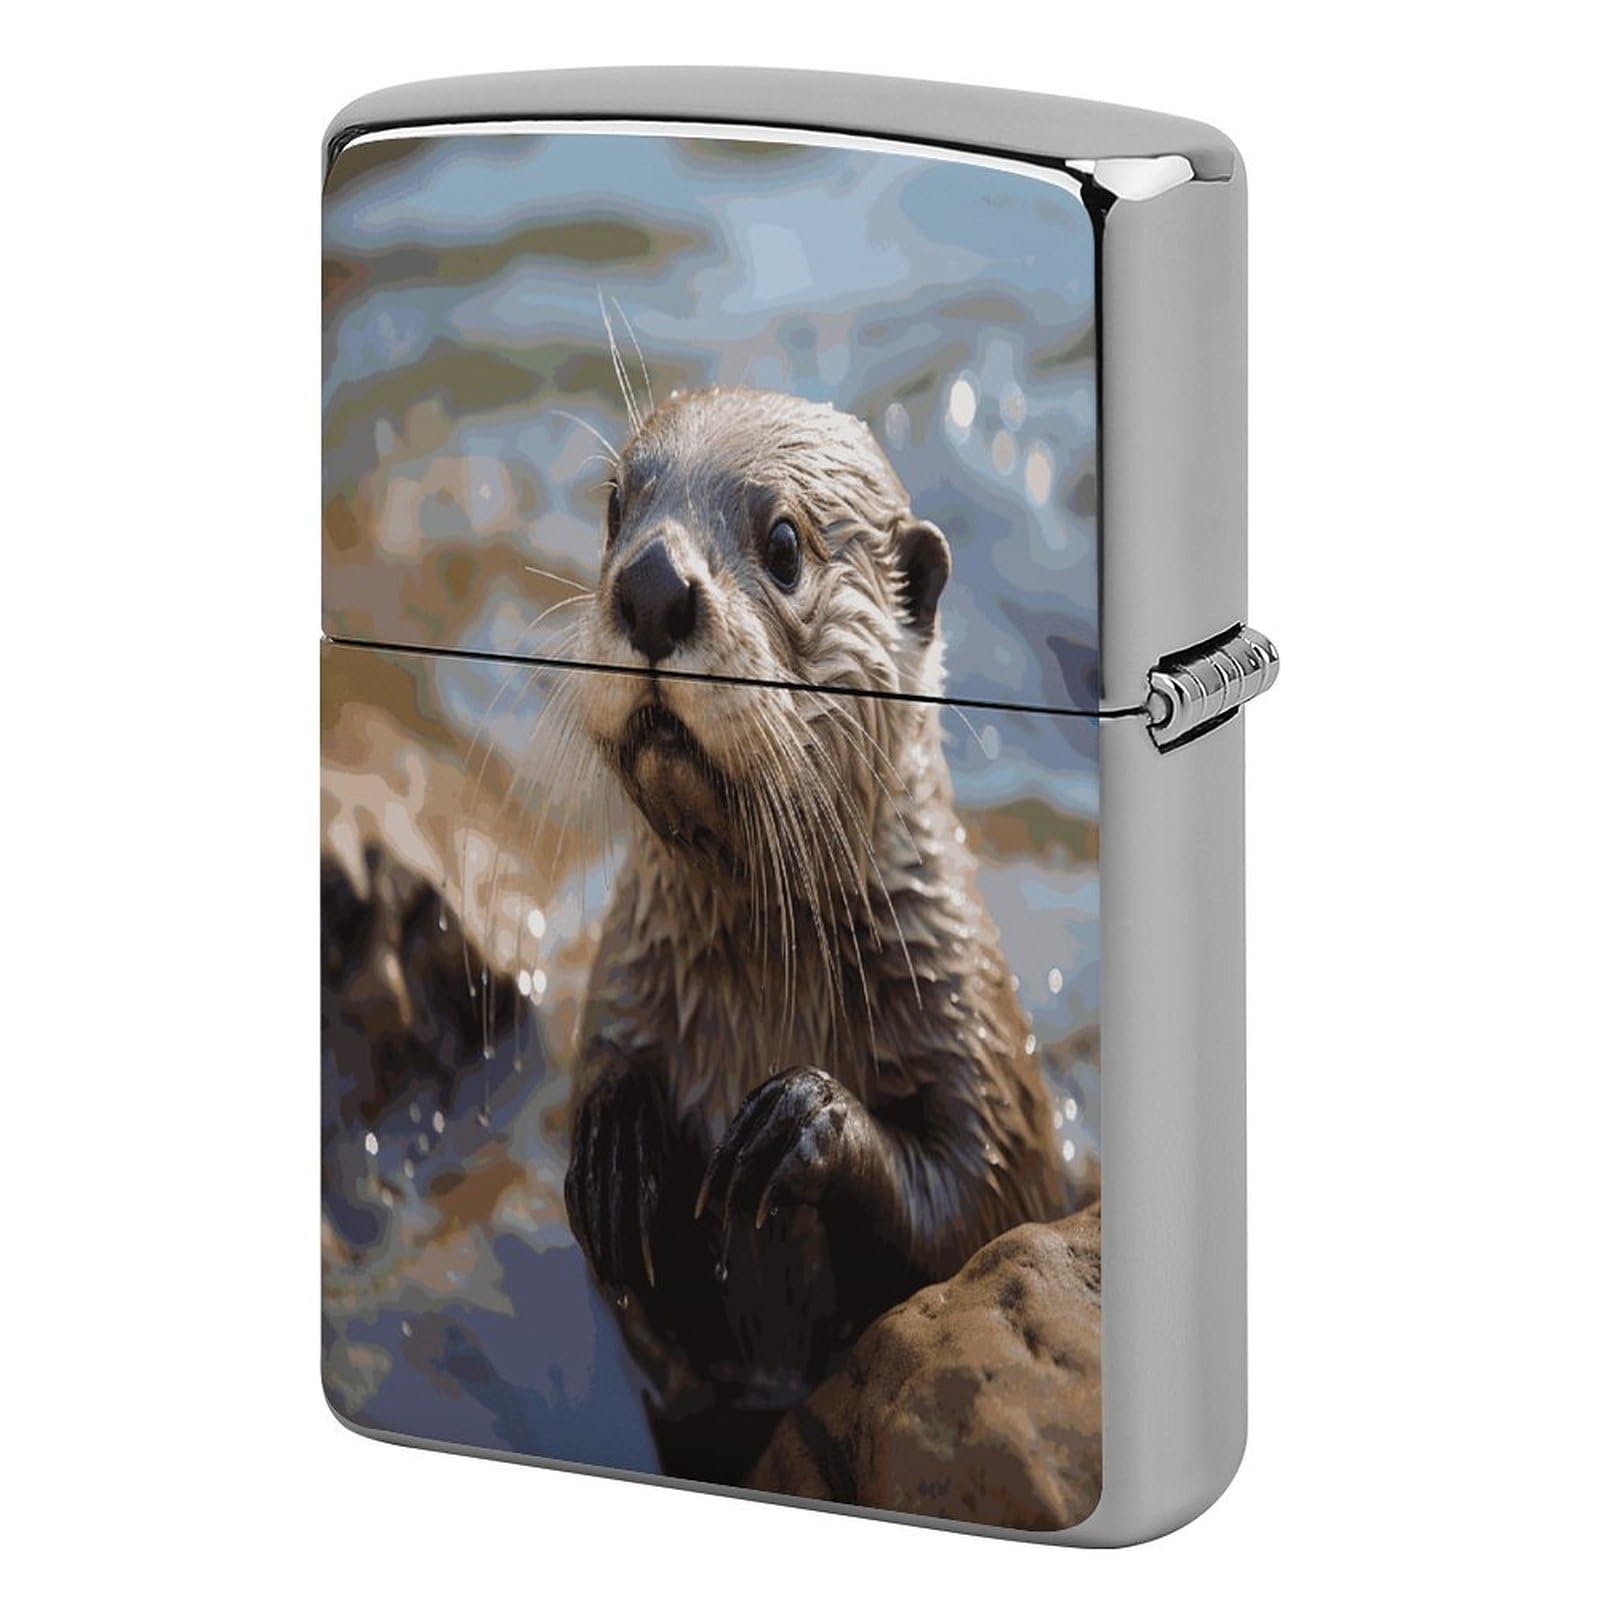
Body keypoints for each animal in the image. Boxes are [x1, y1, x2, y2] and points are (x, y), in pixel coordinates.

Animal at [561, 387, 1067, 1484]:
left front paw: (802, 1123)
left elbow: (975, 1207)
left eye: (784, 541)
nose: (651, 586)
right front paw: (618, 1149)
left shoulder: (976, 1035)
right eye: (617, 508)